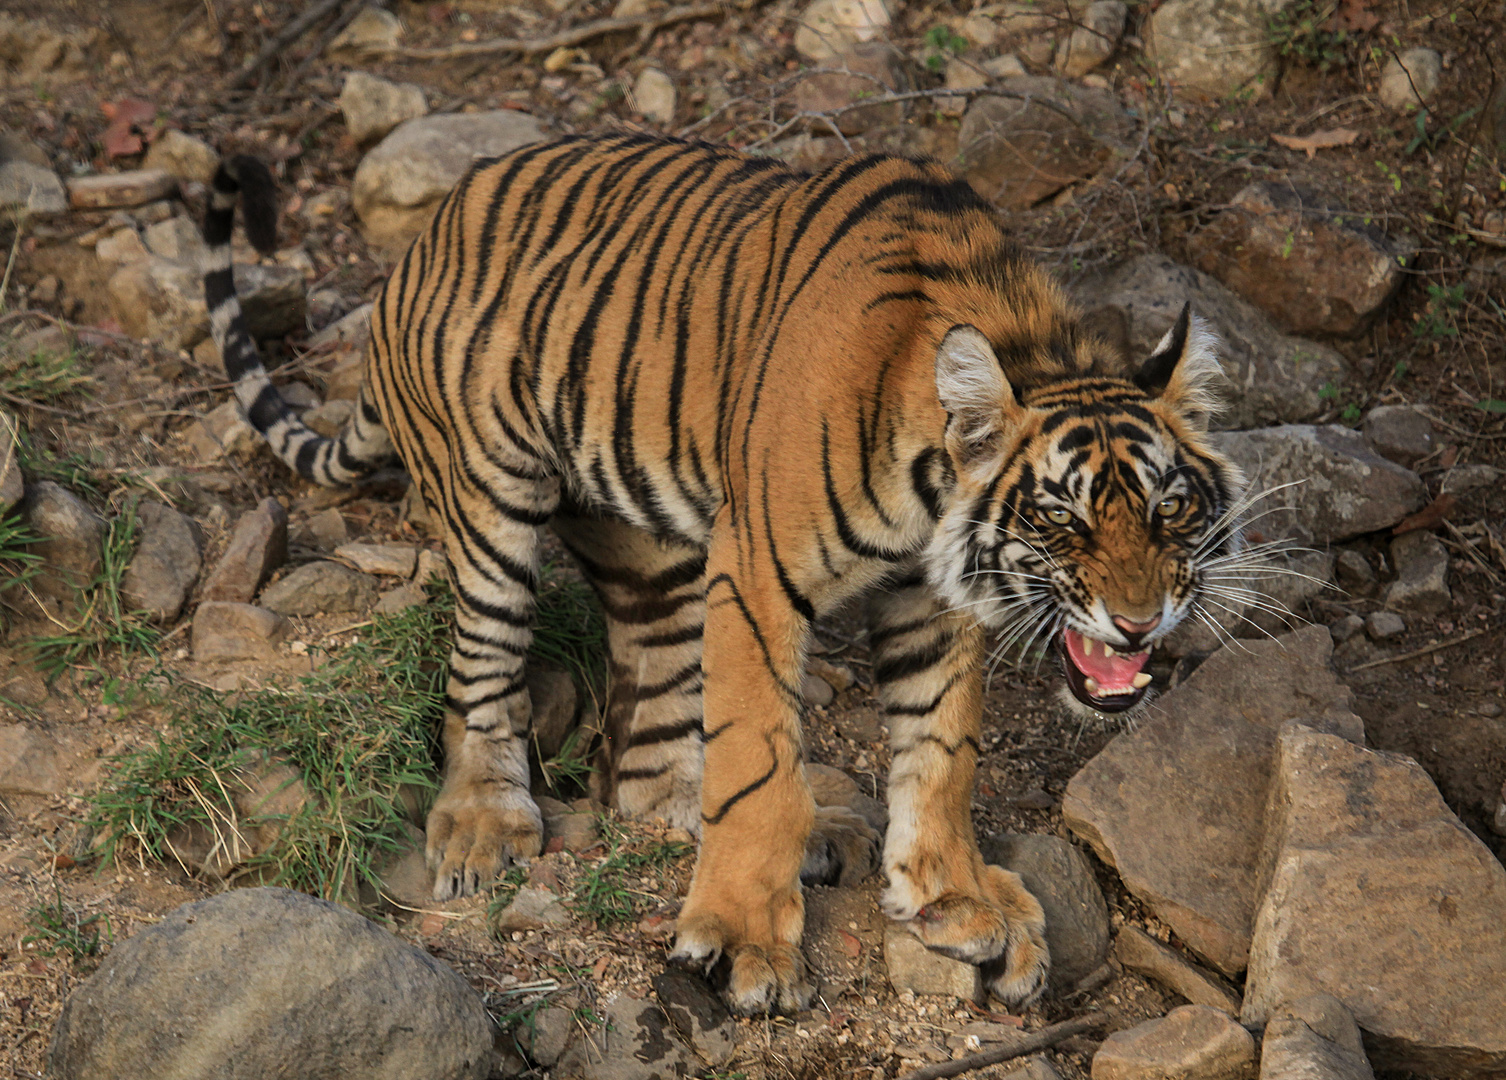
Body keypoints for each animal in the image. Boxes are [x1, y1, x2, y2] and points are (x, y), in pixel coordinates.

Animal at [203, 130, 1246, 1018]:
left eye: (1169, 509)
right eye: (1061, 516)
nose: (1140, 622)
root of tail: (420, 242)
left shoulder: (929, 595)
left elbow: (941, 746)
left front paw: (953, 897)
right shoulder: (757, 576)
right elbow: (758, 760)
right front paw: (744, 939)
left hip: (652, 554)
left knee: (644, 762)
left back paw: (757, 827)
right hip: (492, 499)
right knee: (483, 671)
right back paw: (484, 825)